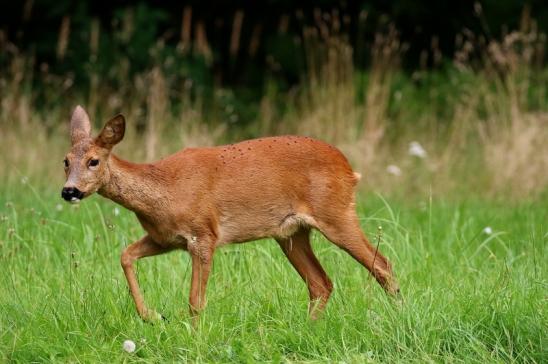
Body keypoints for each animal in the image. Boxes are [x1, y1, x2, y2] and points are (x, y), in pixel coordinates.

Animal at [62, 105, 400, 322]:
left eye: (93, 161)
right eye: (65, 161)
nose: (69, 191)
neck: (164, 190)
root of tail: (349, 169)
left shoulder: (204, 235)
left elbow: (195, 301)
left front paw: (192, 336)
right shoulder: (164, 238)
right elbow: (125, 255)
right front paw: (151, 316)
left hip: (336, 213)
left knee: (382, 265)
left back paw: (398, 316)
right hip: (291, 233)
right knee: (321, 283)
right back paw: (307, 328)